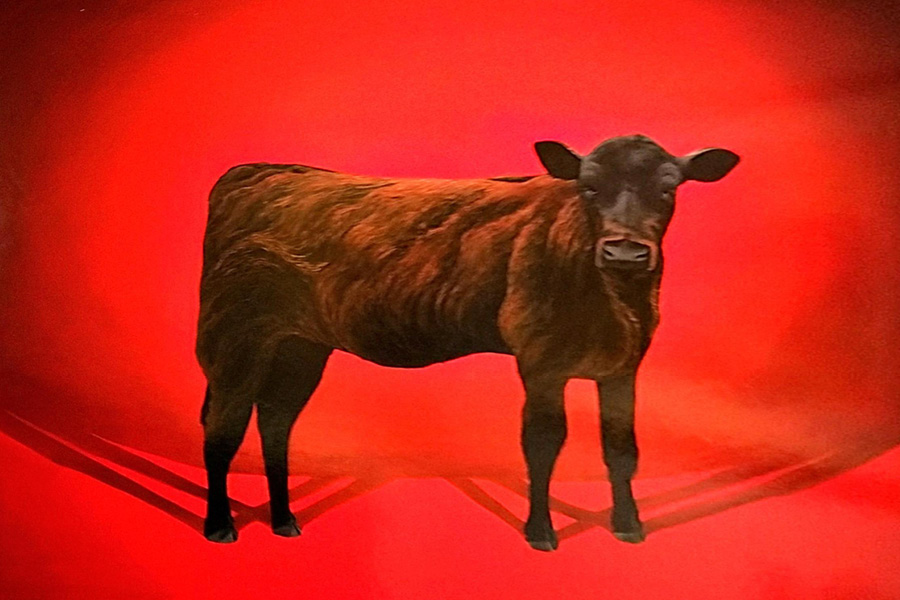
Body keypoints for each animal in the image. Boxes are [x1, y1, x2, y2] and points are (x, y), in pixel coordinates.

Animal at [196, 134, 739, 550]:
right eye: (588, 187)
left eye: (668, 188)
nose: (625, 250)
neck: (614, 306)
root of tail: (257, 171)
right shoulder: (540, 362)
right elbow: (542, 444)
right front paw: (540, 533)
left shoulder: (623, 367)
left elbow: (621, 449)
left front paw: (629, 527)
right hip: (233, 341)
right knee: (223, 431)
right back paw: (220, 526)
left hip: (300, 347)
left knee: (276, 422)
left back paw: (285, 521)